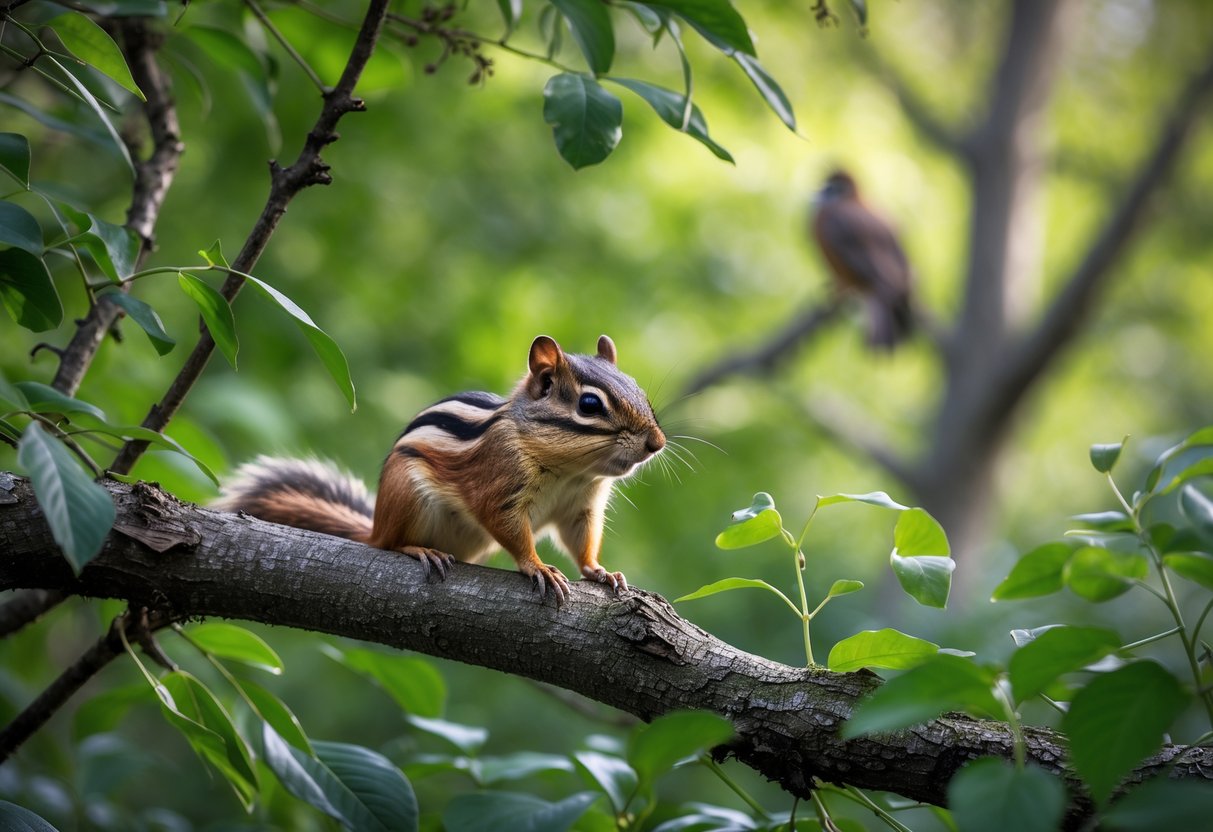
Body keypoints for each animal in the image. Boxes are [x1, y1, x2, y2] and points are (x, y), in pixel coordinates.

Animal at [215, 335, 666, 606]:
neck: (572, 470)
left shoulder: (581, 507)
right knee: (388, 545)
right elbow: (509, 528)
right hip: (407, 495)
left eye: (640, 391)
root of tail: (374, 525)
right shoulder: (499, 486)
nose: (656, 443)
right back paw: (419, 549)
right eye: (590, 405)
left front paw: (600, 571)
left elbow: (582, 542)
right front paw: (537, 565)